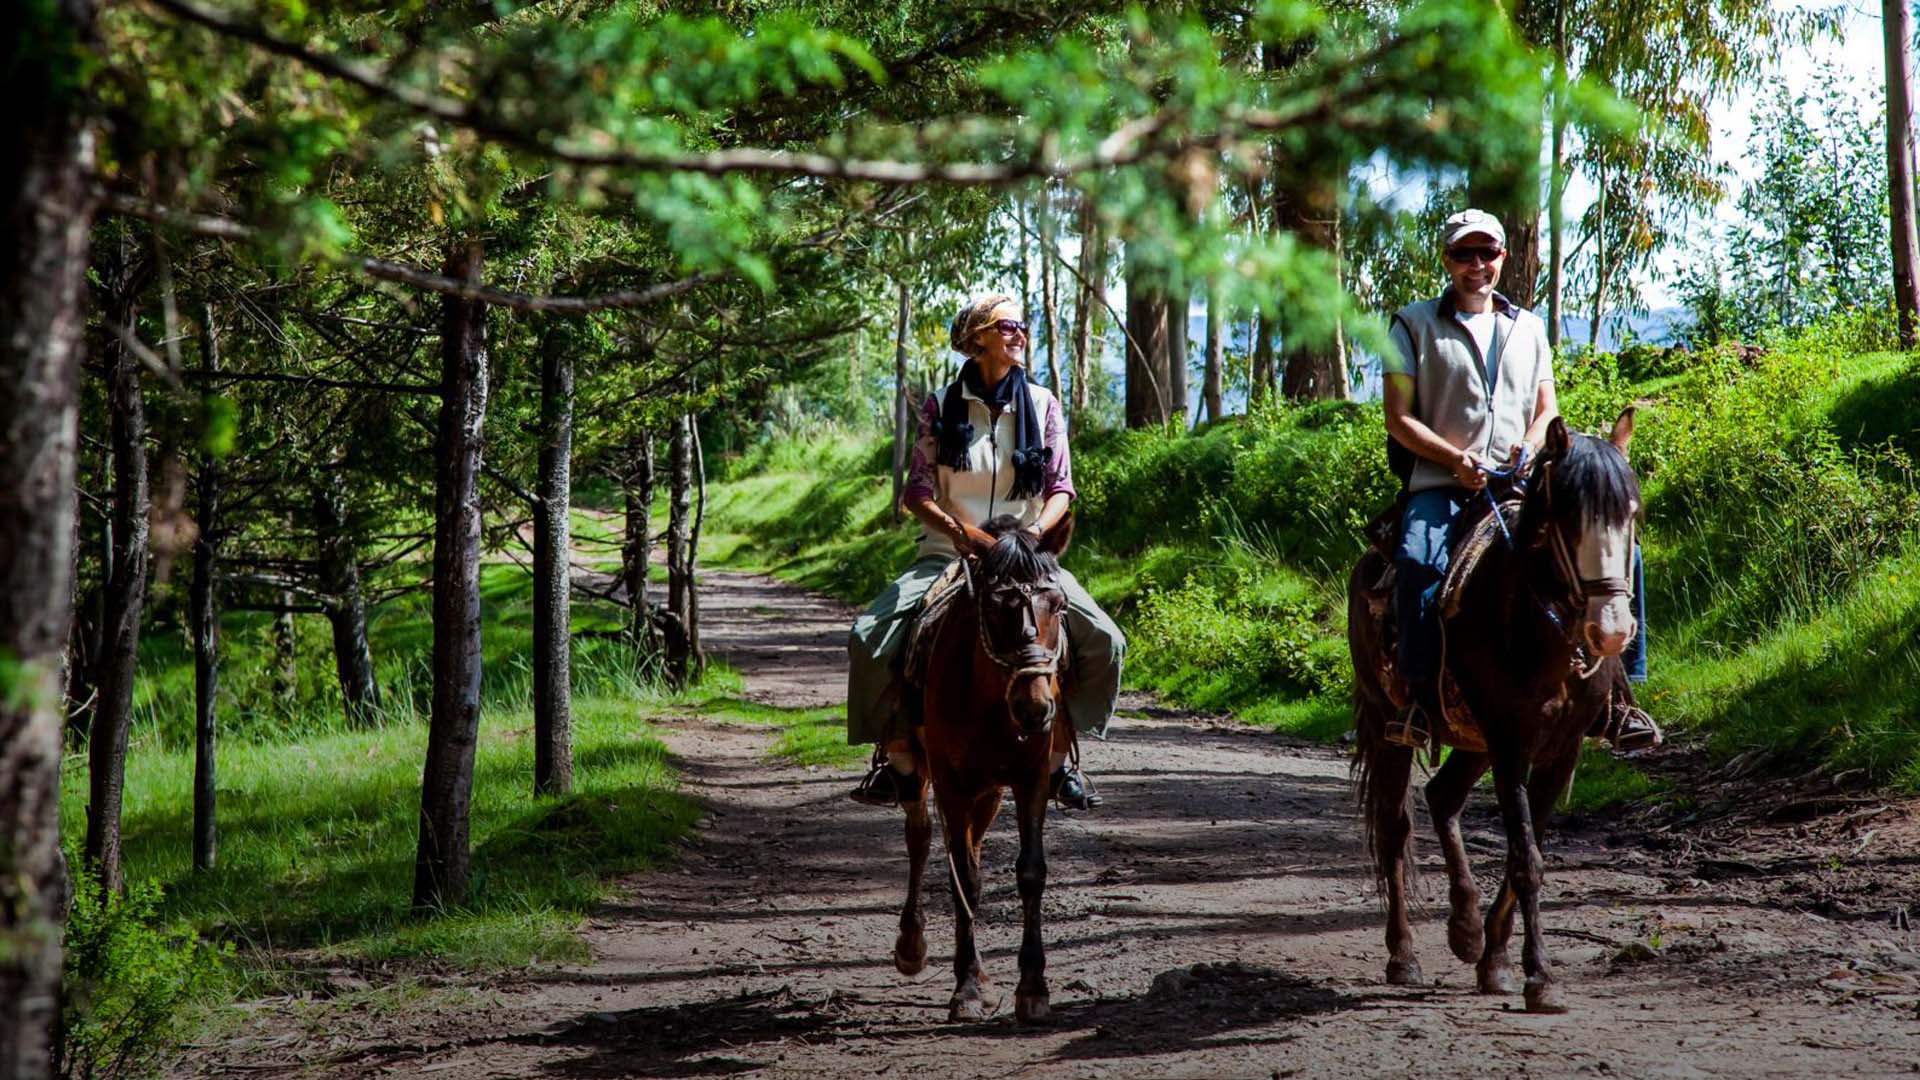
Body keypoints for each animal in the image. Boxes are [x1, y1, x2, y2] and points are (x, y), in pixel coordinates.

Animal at [893, 512, 1075, 1025]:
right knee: (920, 837)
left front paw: (1032, 988)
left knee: (968, 840)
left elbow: (1030, 872)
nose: (1035, 708)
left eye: (1058, 605)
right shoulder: (951, 784)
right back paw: (910, 945)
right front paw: (969, 989)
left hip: (989, 790)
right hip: (923, 774)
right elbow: (965, 880)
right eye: (995, 608)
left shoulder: (1030, 780)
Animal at [1348, 409, 1641, 1014]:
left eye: (1630, 513)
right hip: (1391, 727)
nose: (1611, 631)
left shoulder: (1560, 751)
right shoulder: (1510, 743)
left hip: (1472, 740)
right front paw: (1541, 978)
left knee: (1442, 797)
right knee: (1394, 829)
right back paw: (1403, 956)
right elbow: (1526, 859)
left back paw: (1464, 928)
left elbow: (1524, 852)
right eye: (1567, 515)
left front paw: (1497, 962)